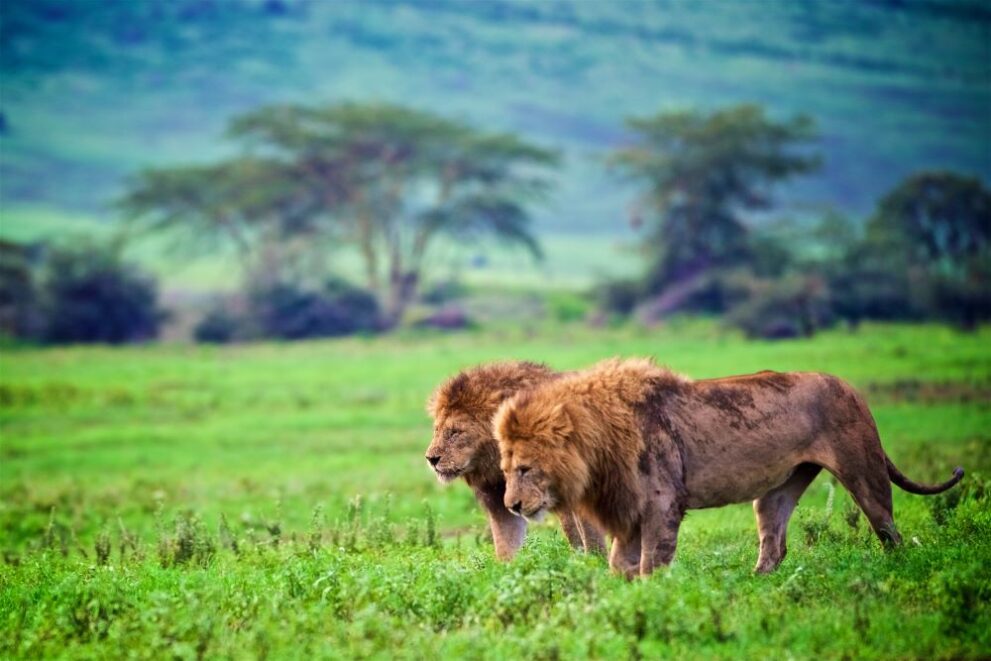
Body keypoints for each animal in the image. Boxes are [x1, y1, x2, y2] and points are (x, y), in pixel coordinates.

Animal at [426, 361, 606, 560]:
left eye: (456, 432)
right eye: (436, 430)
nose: (431, 459)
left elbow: (590, 533)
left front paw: (595, 562)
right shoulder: (498, 497)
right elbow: (506, 543)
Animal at [493, 357, 964, 577]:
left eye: (525, 469)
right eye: (506, 468)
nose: (512, 506)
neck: (598, 446)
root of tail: (850, 386)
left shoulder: (663, 503)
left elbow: (652, 562)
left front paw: (650, 597)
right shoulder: (629, 511)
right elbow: (619, 564)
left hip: (863, 470)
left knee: (889, 531)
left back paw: (897, 569)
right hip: (778, 490)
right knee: (775, 544)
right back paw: (754, 584)